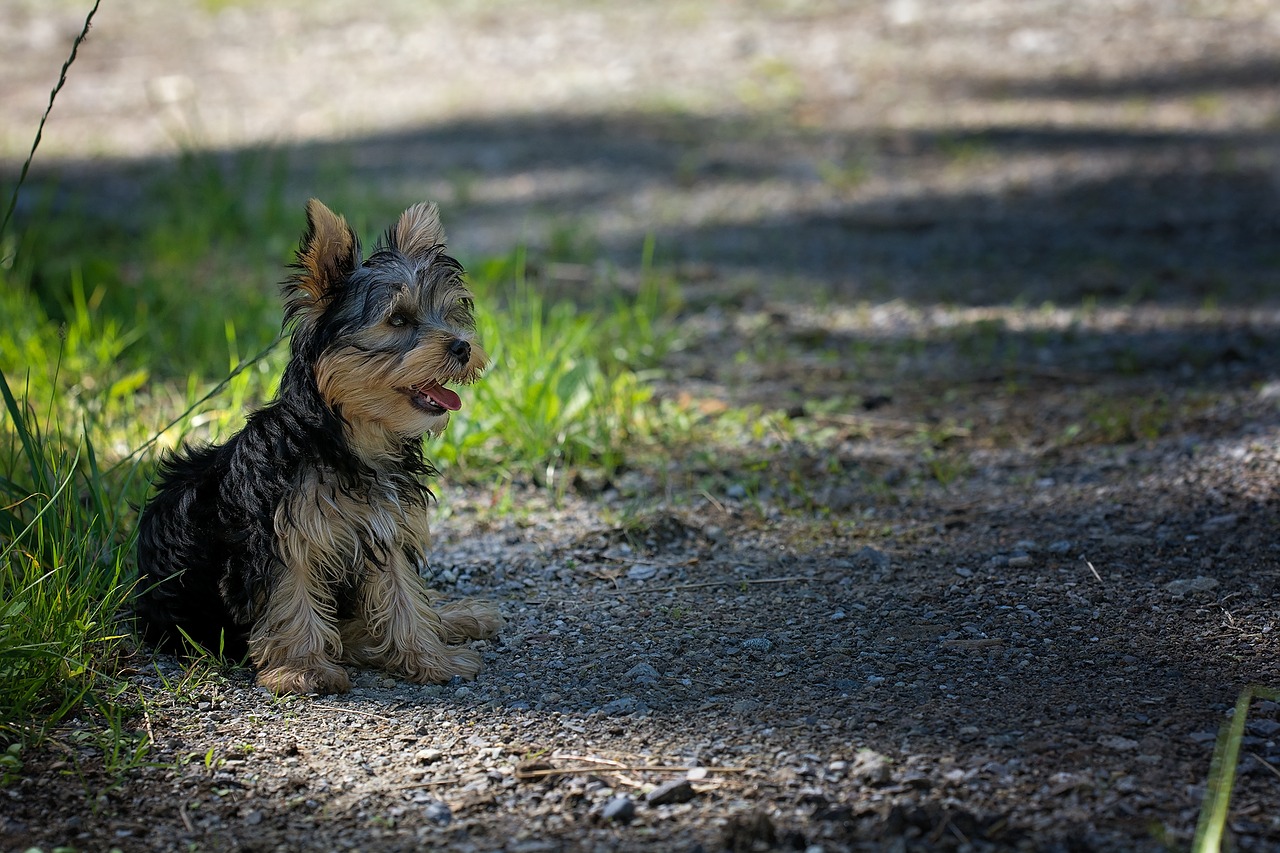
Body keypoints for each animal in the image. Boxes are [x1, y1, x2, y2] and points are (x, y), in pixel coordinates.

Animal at [135, 197, 501, 691]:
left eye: (448, 314)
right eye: (398, 319)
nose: (462, 346)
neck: (350, 440)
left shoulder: (386, 526)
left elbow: (402, 593)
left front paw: (429, 657)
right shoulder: (281, 537)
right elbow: (292, 597)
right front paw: (303, 669)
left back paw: (455, 618)